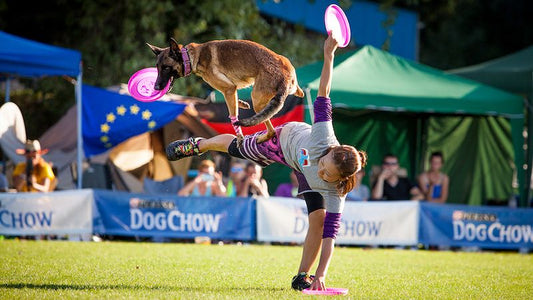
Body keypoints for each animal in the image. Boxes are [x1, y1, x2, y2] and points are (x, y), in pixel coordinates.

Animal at [147, 38, 304, 143]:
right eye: (157, 67)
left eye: (166, 68)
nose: (156, 87)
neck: (191, 57)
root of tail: (285, 77)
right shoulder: (231, 88)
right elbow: (233, 99)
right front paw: (241, 103)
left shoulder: (229, 89)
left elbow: (233, 114)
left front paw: (239, 136)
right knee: (298, 93)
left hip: (257, 100)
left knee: (271, 130)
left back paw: (263, 137)